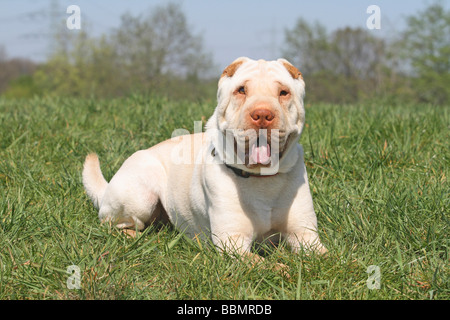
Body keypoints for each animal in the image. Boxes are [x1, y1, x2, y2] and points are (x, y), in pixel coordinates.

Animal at [82, 57, 326, 260]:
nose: (263, 115)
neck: (262, 180)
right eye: (241, 90)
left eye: (283, 92)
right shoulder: (232, 242)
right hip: (140, 196)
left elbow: (329, 258)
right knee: (112, 224)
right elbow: (266, 265)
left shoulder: (306, 236)